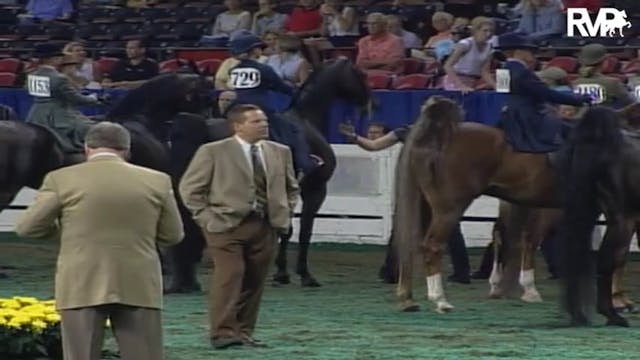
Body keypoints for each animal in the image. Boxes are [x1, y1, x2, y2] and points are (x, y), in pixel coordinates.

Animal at [165, 59, 372, 290]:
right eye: (360, 73)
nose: (370, 103)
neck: (306, 119)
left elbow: (286, 228)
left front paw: (281, 273)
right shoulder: (315, 189)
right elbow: (304, 231)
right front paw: (303, 274)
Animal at [396, 97, 640, 328]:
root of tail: (440, 134)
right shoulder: (623, 213)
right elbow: (617, 256)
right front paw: (618, 303)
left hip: (431, 206)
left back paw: (409, 298)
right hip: (451, 208)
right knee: (434, 246)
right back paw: (441, 299)